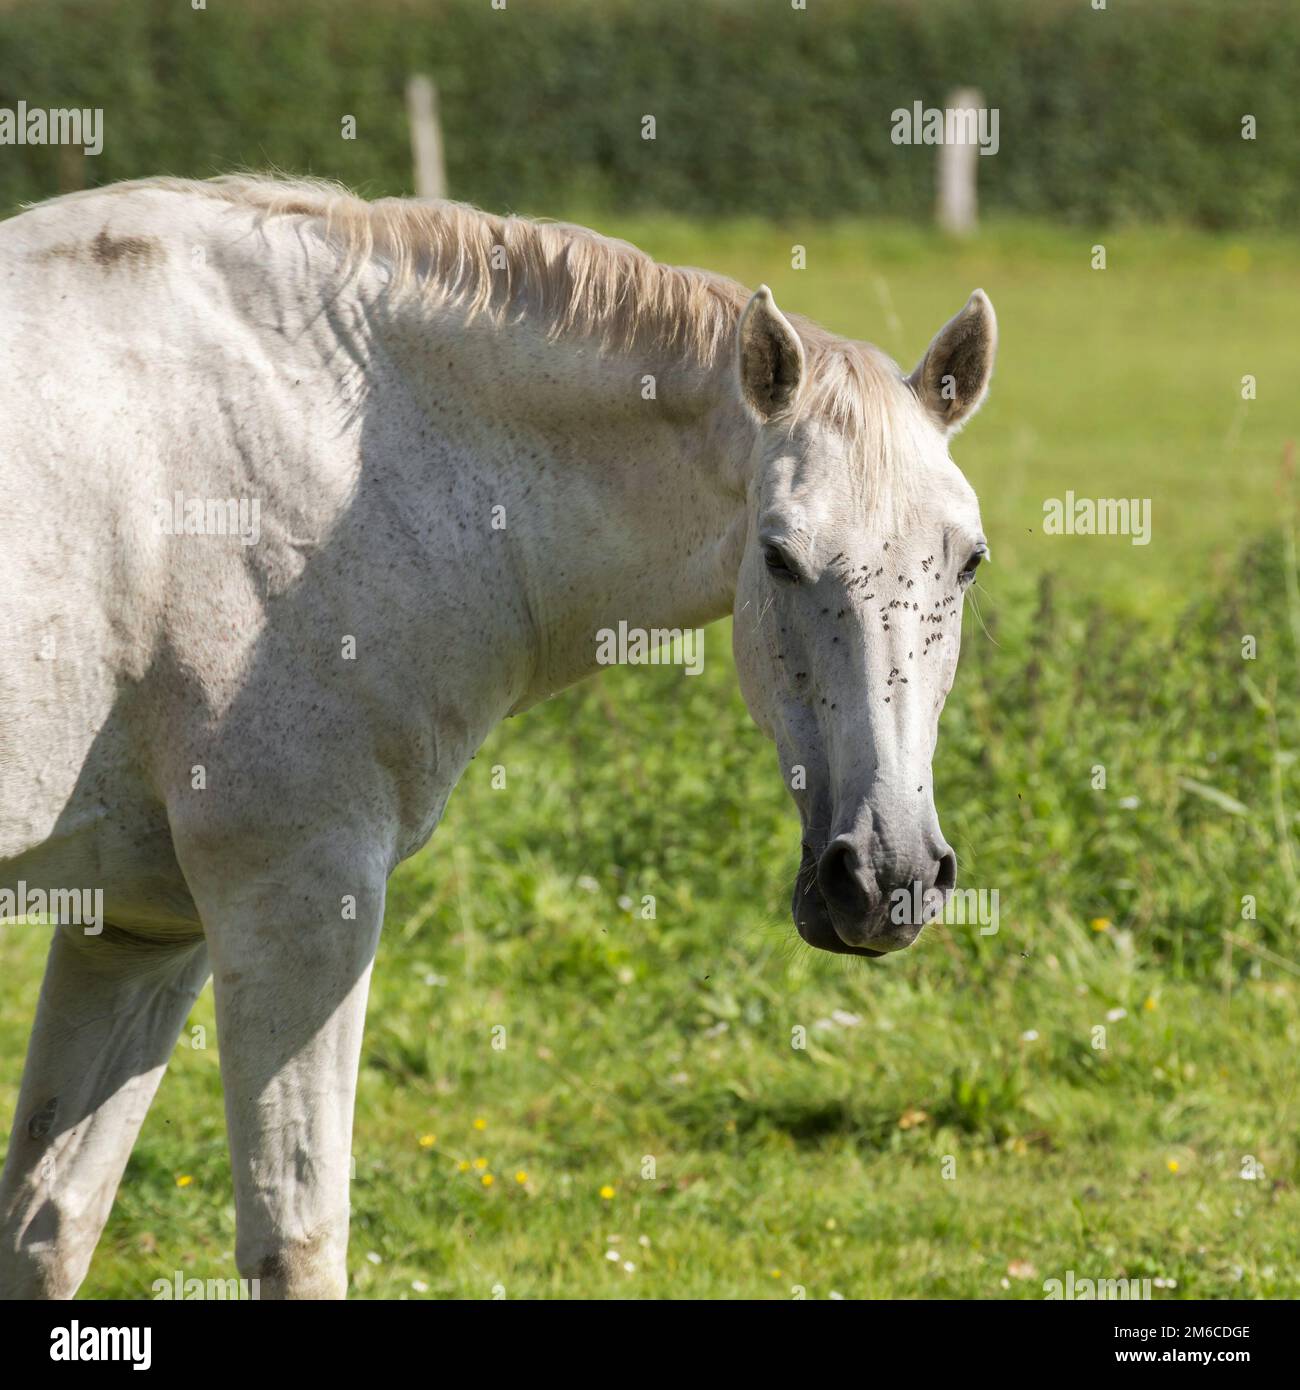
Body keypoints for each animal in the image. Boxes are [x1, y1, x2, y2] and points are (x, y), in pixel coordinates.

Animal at [0, 176, 995, 1298]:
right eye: (780, 557)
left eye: (966, 561)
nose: (888, 875)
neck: (346, 463)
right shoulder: (298, 903)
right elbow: (297, 1239)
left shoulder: (136, 930)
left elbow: (45, 1228)